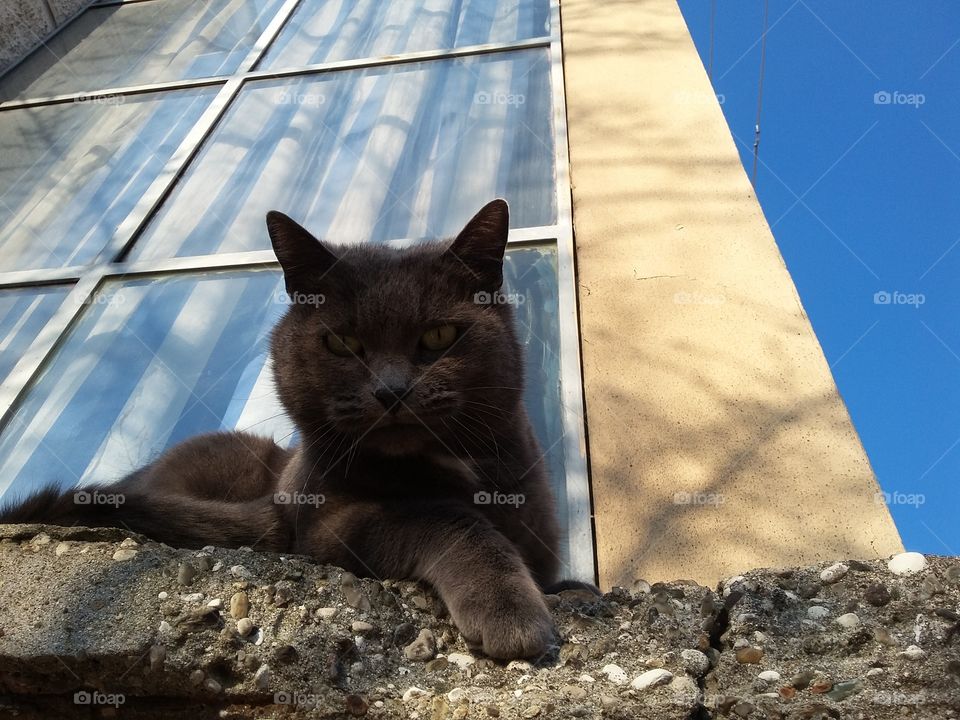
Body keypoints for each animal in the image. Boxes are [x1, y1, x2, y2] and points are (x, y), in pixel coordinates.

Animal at [3, 200, 580, 660]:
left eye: (439, 336)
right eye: (342, 343)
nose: (391, 390)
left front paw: (573, 589)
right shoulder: (325, 526)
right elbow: (442, 516)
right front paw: (513, 616)